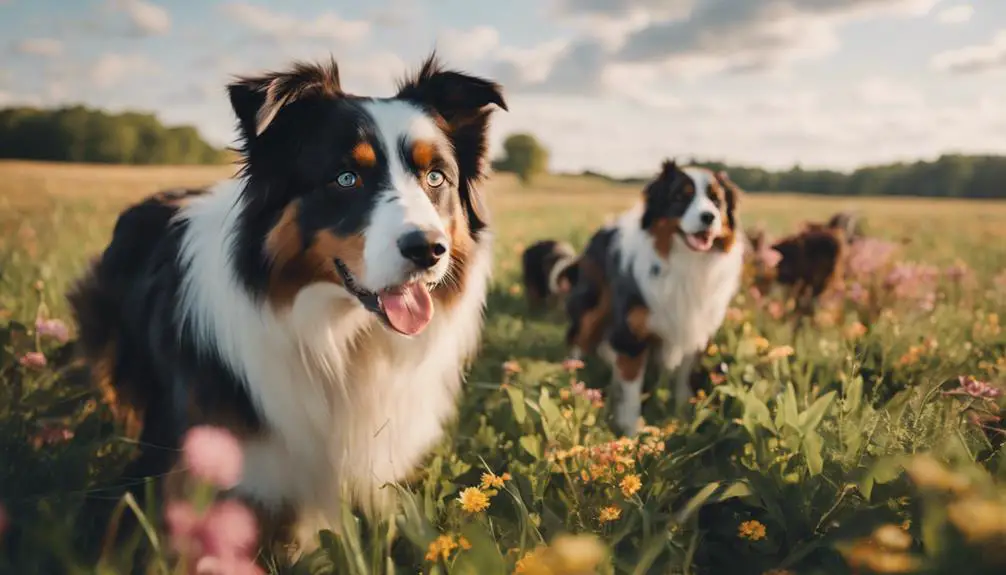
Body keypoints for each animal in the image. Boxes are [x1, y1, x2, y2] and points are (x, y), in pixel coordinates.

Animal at [567, 159, 748, 434]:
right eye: (680, 197)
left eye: (716, 200)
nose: (709, 217)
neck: (686, 261)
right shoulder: (632, 334)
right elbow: (632, 392)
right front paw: (631, 433)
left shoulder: (694, 329)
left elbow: (684, 381)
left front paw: (683, 418)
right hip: (594, 305)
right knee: (578, 337)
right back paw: (572, 376)